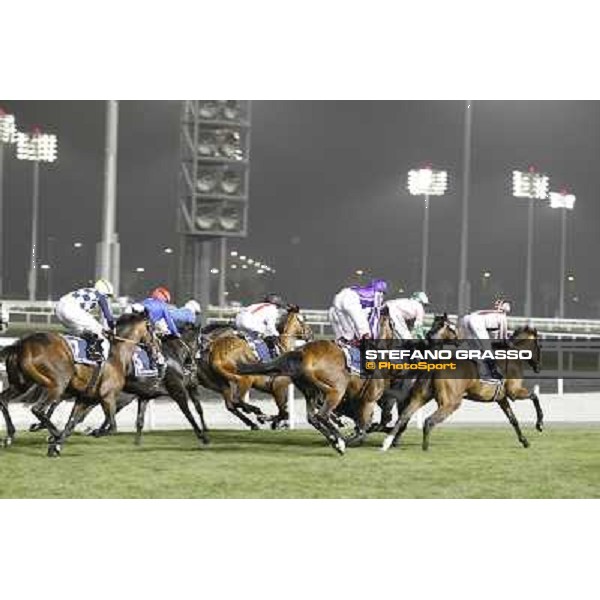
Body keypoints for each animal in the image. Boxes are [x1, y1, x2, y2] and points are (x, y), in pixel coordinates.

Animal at [0, 312, 157, 458]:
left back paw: (10, 436)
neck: (117, 354)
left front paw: (56, 447)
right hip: (57, 385)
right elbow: (112, 427)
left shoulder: (85, 398)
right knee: (38, 409)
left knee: (3, 399)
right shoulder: (107, 395)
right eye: (152, 329)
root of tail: (22, 344)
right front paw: (92, 432)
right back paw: (54, 433)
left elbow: (72, 422)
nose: (155, 351)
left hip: (21, 384)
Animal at [384, 328, 544, 450]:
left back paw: (388, 443)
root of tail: (435, 363)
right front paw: (540, 424)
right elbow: (534, 396)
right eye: (540, 346)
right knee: (429, 421)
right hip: (451, 402)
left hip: (421, 397)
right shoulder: (514, 392)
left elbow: (513, 419)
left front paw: (524, 441)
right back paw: (425, 447)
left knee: (403, 416)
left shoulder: (501, 398)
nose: (538, 367)